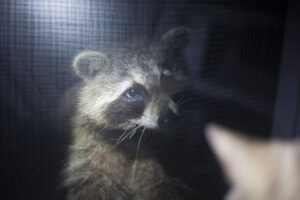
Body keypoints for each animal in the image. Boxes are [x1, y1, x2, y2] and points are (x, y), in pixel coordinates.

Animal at [62, 27, 190, 200]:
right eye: (133, 91)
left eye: (167, 80)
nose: (168, 118)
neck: (140, 134)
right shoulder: (92, 146)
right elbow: (93, 182)